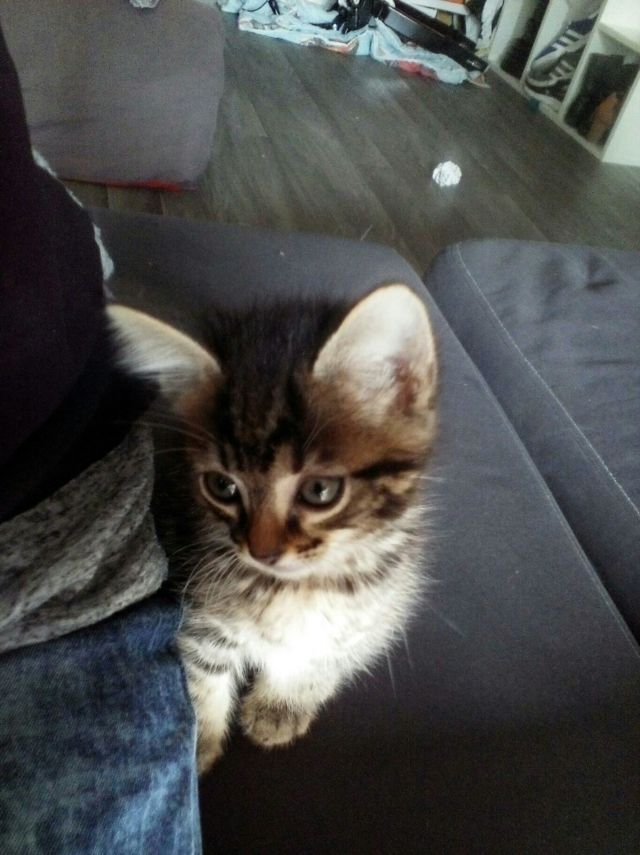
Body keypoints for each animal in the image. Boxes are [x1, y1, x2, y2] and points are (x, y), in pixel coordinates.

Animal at [107, 283, 438, 774]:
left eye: (320, 490)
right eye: (222, 486)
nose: (260, 550)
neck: (297, 588)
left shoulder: (380, 603)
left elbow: (322, 655)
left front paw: (280, 706)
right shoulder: (199, 601)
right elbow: (203, 668)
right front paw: (198, 739)